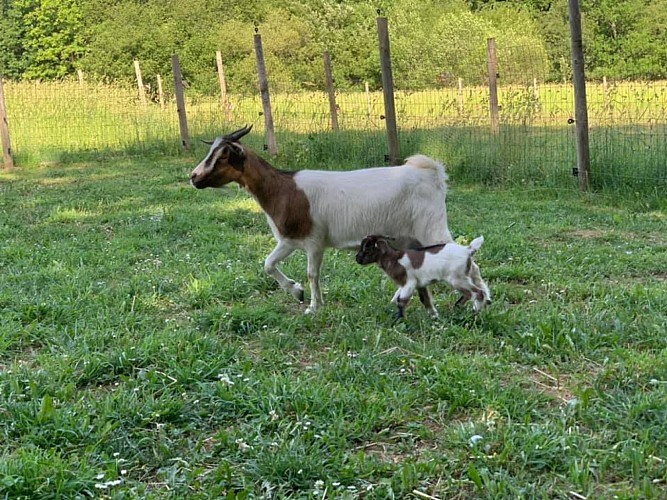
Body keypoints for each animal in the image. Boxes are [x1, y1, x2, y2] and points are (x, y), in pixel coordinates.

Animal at [190, 125, 456, 312]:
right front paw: (296, 291)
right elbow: (268, 264)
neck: (282, 189)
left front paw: (313, 306)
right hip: (407, 235)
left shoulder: (314, 241)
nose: (194, 176)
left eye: (223, 156)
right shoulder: (289, 240)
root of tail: (432, 172)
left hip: (431, 226)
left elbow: (312, 274)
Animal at [358, 235, 494, 320]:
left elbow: (401, 301)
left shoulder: (409, 283)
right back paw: (459, 307)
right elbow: (425, 300)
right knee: (473, 291)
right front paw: (435, 316)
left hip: (457, 279)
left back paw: (475, 312)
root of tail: (468, 250)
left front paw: (399, 321)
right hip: (466, 276)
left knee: (478, 293)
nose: (357, 259)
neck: (394, 258)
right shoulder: (420, 285)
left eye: (367, 248)